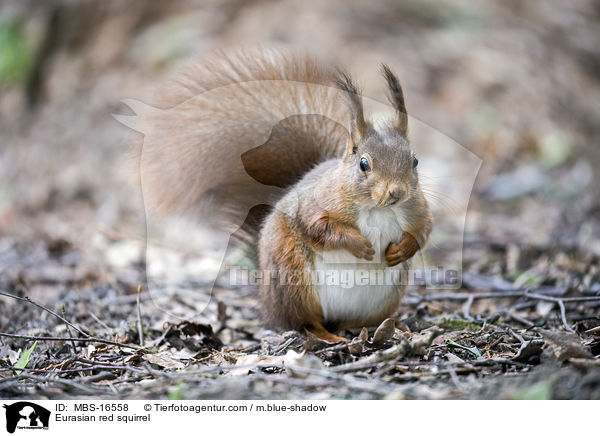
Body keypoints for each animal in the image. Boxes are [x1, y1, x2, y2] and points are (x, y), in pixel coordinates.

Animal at [139, 49, 434, 342]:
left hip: (382, 298)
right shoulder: (316, 204)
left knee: (354, 321)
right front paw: (360, 245)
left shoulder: (416, 208)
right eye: (364, 164)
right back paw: (326, 336)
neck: (378, 208)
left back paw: (386, 327)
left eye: (415, 160)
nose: (396, 192)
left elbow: (424, 230)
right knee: (302, 322)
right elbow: (317, 227)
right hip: (293, 279)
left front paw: (403, 249)